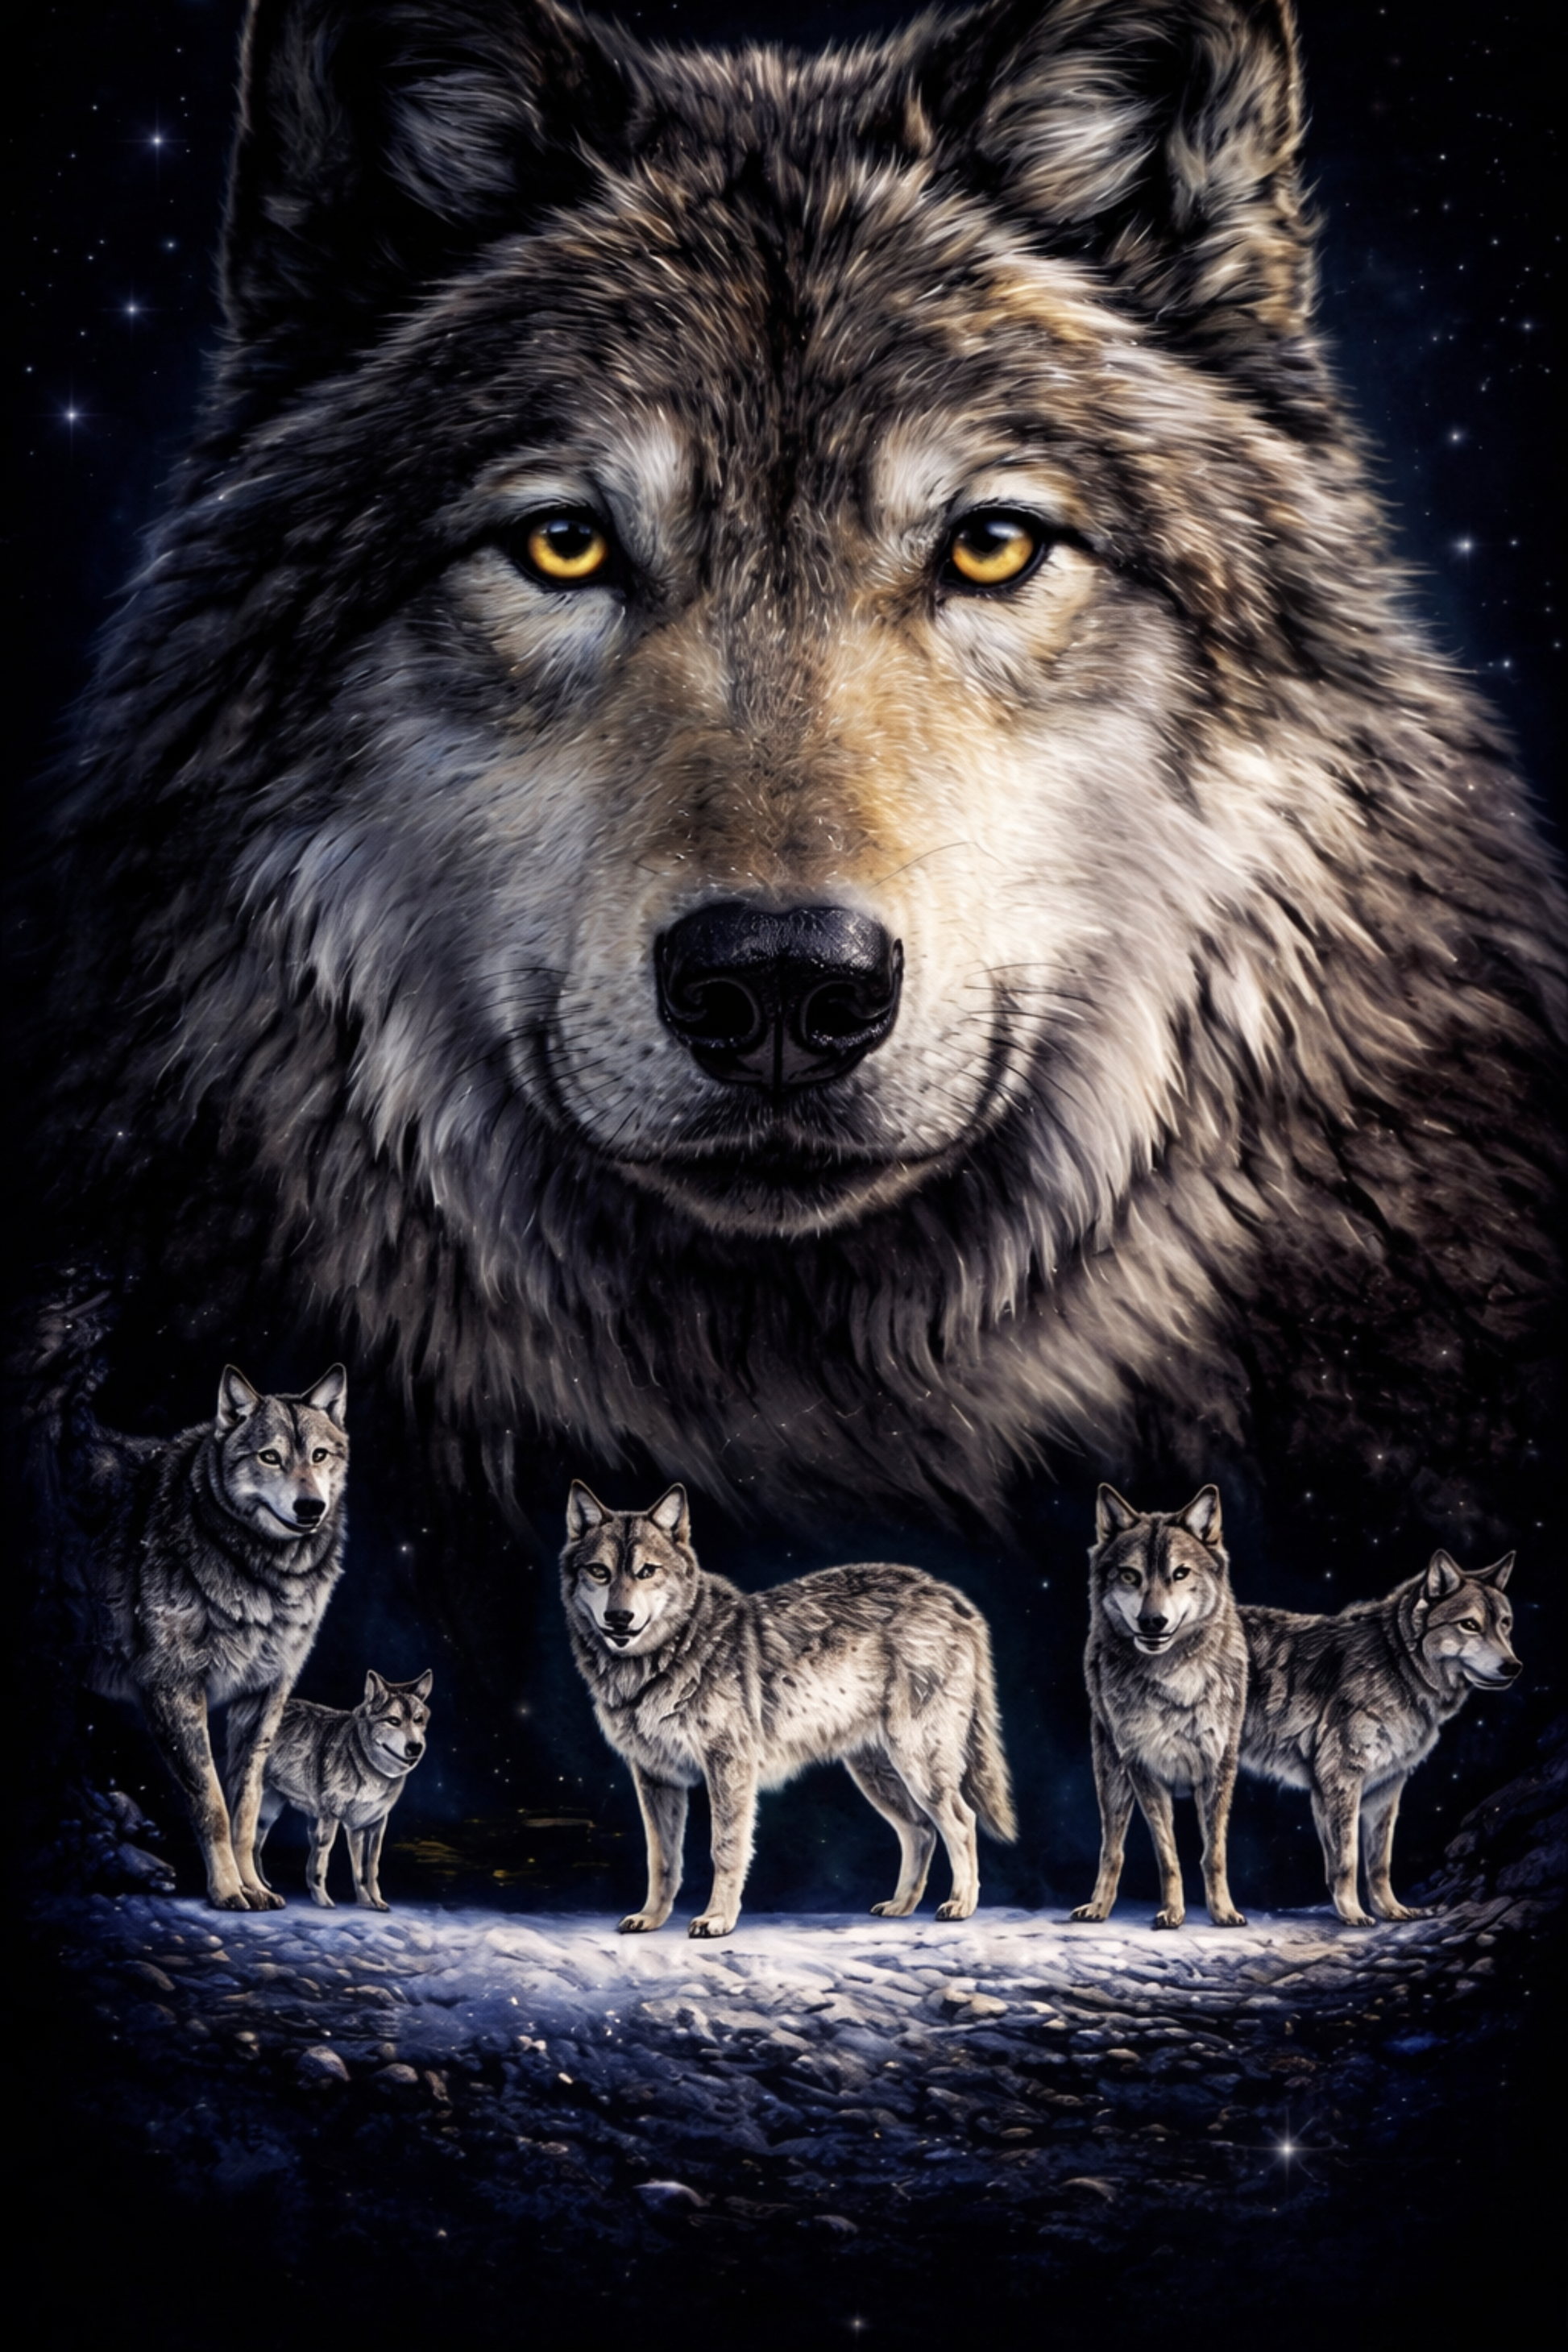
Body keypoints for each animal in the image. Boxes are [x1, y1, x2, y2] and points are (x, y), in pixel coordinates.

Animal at [66, 1365, 349, 1908]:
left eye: (319, 1455)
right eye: (270, 1457)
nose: (310, 1507)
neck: (264, 1576)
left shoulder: (264, 1696)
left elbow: (246, 1805)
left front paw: (254, 1885)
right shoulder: (173, 1689)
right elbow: (212, 1801)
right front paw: (226, 1890)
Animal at [229, 1668, 433, 1909]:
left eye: (418, 1720)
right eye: (394, 1721)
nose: (416, 1747)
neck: (365, 1763)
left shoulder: (368, 1826)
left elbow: (368, 1869)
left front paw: (372, 1902)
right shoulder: (331, 1819)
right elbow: (320, 1863)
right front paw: (323, 1900)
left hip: (267, 1816)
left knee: (255, 1846)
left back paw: (263, 1886)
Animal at [561, 1482, 1016, 1935]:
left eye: (647, 1572)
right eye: (600, 1572)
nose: (619, 1618)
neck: (665, 1658)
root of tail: (951, 1597)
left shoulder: (729, 1768)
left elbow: (725, 1849)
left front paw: (718, 1918)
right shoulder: (655, 1777)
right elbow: (662, 1859)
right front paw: (651, 1917)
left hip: (919, 1766)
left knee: (961, 1822)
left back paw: (961, 1904)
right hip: (876, 1775)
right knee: (921, 1830)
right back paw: (902, 1905)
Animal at [1072, 1484, 1248, 1929]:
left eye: (1180, 1574)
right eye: (1130, 1575)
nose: (1152, 1621)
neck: (1172, 1680)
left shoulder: (1220, 1767)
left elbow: (1213, 1854)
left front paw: (1224, 1912)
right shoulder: (1144, 1769)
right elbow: (1168, 1857)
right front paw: (1172, 1912)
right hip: (1111, 1778)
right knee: (1111, 1848)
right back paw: (1097, 1908)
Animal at [1239, 1551, 1521, 1924]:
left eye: (1505, 1624)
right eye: (1470, 1625)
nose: (1514, 1667)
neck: (1397, 1664)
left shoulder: (1386, 1788)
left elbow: (1379, 1863)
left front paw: (1391, 1910)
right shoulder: (1341, 1779)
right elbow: (1347, 1860)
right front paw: (1353, 1914)